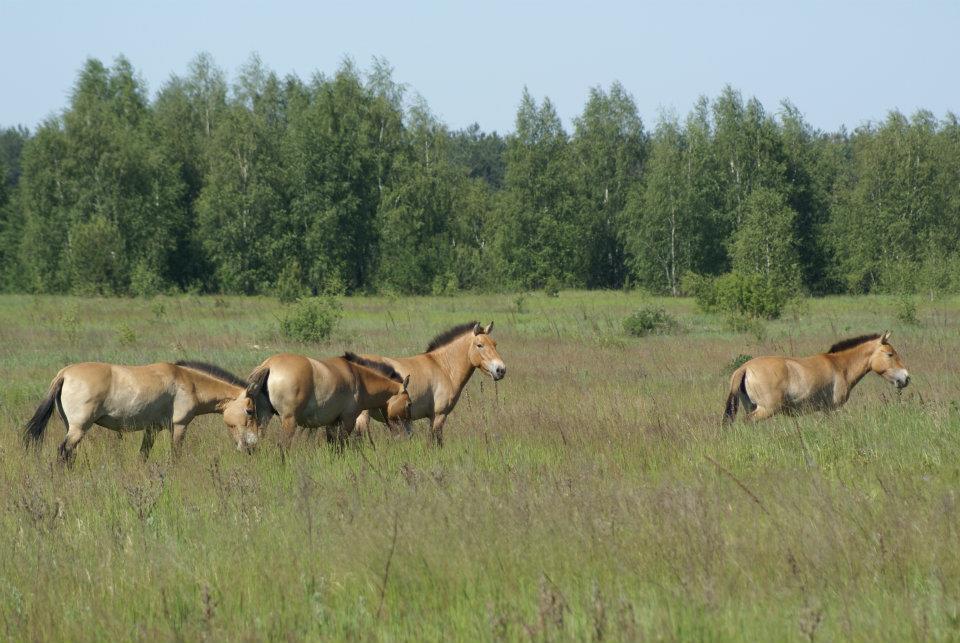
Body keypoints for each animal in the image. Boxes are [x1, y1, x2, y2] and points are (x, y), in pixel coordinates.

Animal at [23, 362, 258, 462]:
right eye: (249, 411)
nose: (252, 448)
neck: (188, 382)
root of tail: (64, 374)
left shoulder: (152, 429)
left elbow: (143, 455)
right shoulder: (180, 426)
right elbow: (176, 455)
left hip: (71, 427)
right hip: (78, 429)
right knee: (64, 451)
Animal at [246, 350, 410, 450]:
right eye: (408, 404)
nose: (406, 435)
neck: (358, 378)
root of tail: (269, 365)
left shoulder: (331, 423)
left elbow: (333, 445)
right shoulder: (348, 420)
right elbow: (341, 445)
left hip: (264, 418)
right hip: (289, 421)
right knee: (283, 446)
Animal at [354, 320, 506, 446]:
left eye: (495, 344)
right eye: (479, 345)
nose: (501, 370)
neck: (443, 367)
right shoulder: (439, 416)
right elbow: (436, 442)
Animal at [724, 332, 912, 422]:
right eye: (890, 354)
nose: (906, 378)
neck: (840, 365)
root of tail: (744, 368)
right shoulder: (833, 408)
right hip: (766, 410)